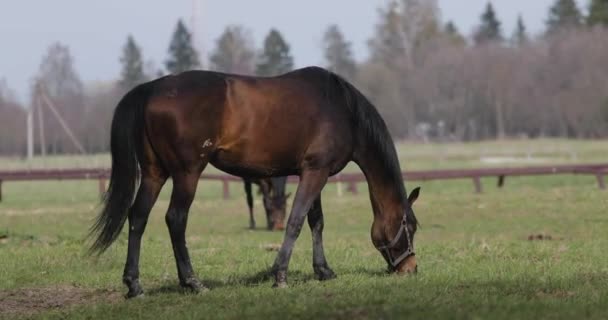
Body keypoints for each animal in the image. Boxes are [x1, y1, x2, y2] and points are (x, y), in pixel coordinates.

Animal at [90, 66, 420, 298]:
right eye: (412, 226)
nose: (411, 268)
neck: (342, 110)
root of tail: (152, 88)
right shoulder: (316, 172)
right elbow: (296, 221)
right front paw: (281, 275)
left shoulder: (313, 172)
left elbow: (316, 222)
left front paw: (323, 270)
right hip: (187, 173)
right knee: (175, 219)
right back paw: (193, 282)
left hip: (154, 173)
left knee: (138, 217)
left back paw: (134, 285)